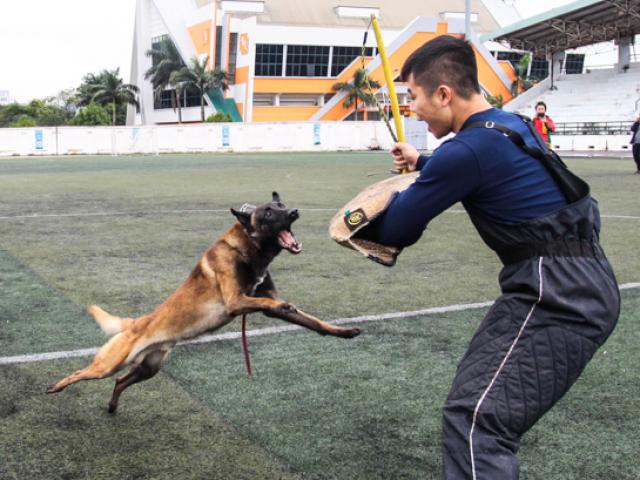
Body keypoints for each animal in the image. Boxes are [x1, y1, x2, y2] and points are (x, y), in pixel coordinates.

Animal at [46, 192, 360, 412]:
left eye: (283, 206)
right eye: (270, 212)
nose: (294, 212)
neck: (248, 250)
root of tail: (137, 323)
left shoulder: (261, 298)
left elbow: (313, 322)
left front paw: (343, 331)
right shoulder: (236, 301)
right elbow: (269, 303)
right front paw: (286, 306)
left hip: (148, 368)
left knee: (119, 381)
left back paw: (111, 406)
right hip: (109, 363)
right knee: (84, 372)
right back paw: (56, 387)